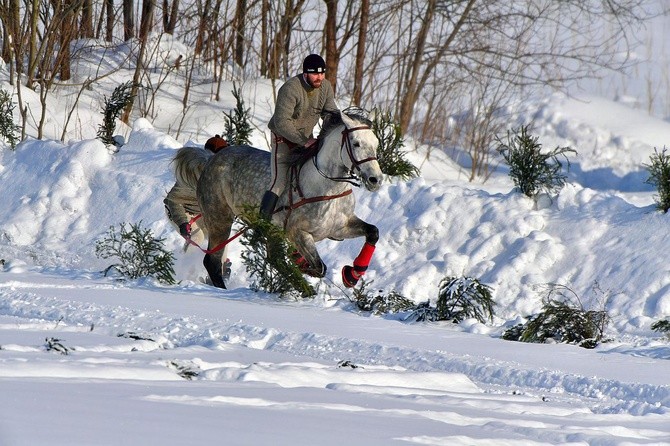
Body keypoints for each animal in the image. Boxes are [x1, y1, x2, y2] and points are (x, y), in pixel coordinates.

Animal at [173, 110, 384, 288]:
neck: (328, 189)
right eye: (356, 143)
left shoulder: (341, 227)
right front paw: (303, 266)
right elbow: (318, 267)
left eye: (375, 144)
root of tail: (210, 160)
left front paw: (351, 275)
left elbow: (373, 232)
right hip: (219, 219)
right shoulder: (298, 233)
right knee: (213, 261)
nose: (376, 179)